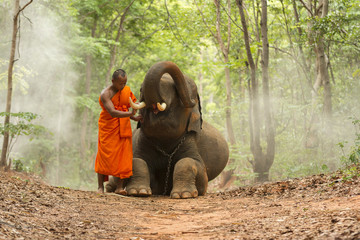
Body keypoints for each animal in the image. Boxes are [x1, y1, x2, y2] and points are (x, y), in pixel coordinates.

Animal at [106, 61, 228, 198]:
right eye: (140, 89)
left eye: (181, 91)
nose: (142, 88)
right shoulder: (142, 142)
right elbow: (136, 160)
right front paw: (138, 192)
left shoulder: (190, 140)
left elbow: (191, 163)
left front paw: (183, 194)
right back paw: (110, 187)